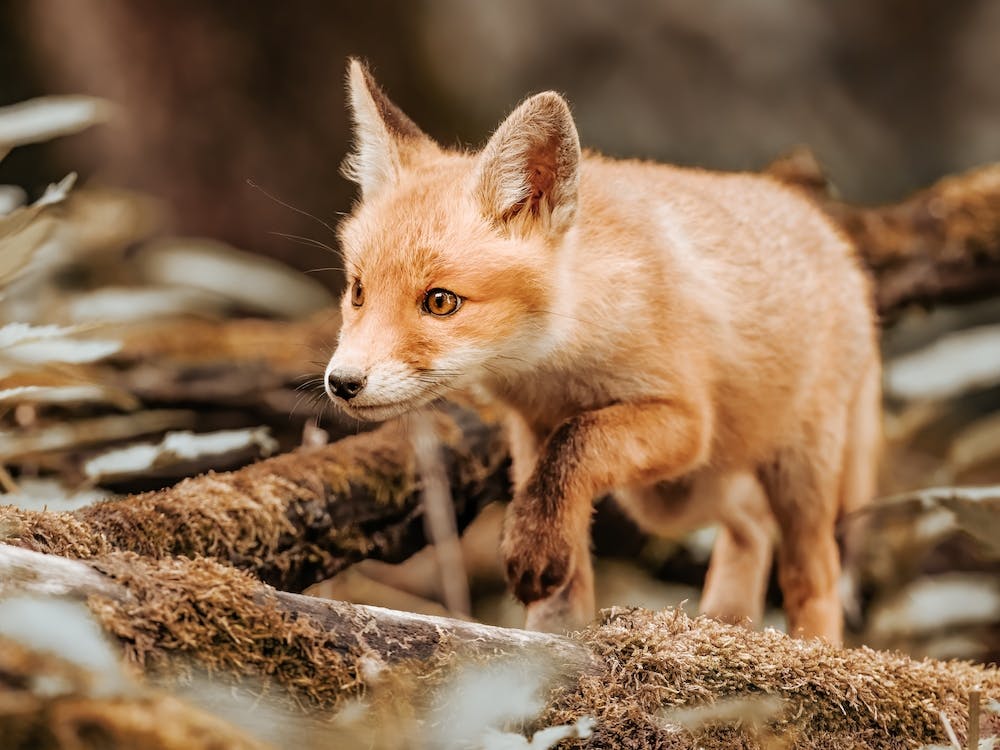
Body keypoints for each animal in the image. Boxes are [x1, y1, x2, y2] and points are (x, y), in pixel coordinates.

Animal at [324, 59, 881, 644]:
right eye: (358, 291)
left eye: (440, 301)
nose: (342, 382)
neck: (554, 365)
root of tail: (835, 238)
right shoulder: (533, 429)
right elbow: (556, 513)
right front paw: (549, 634)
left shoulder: (685, 419)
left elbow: (576, 446)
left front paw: (534, 551)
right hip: (675, 496)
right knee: (750, 525)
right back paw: (727, 621)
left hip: (789, 474)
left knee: (814, 572)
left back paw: (813, 647)